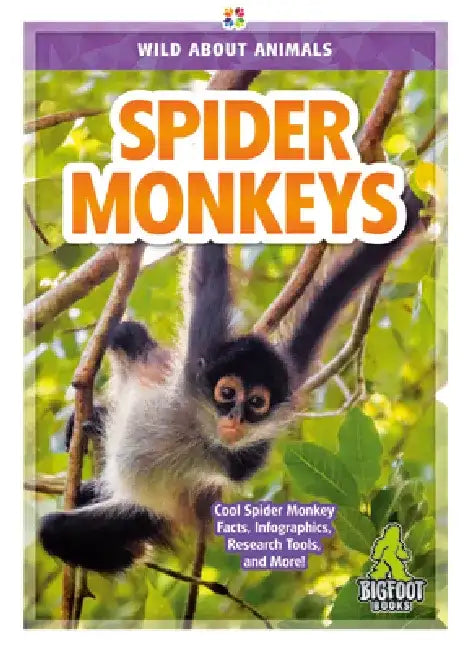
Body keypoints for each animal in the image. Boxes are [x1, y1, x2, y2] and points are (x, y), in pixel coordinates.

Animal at [40, 187, 424, 574]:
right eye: (227, 392)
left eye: (256, 403)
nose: (236, 419)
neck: (195, 424)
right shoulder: (201, 348)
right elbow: (208, 272)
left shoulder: (244, 457)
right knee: (126, 333)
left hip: (142, 510)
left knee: (57, 530)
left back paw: (127, 546)